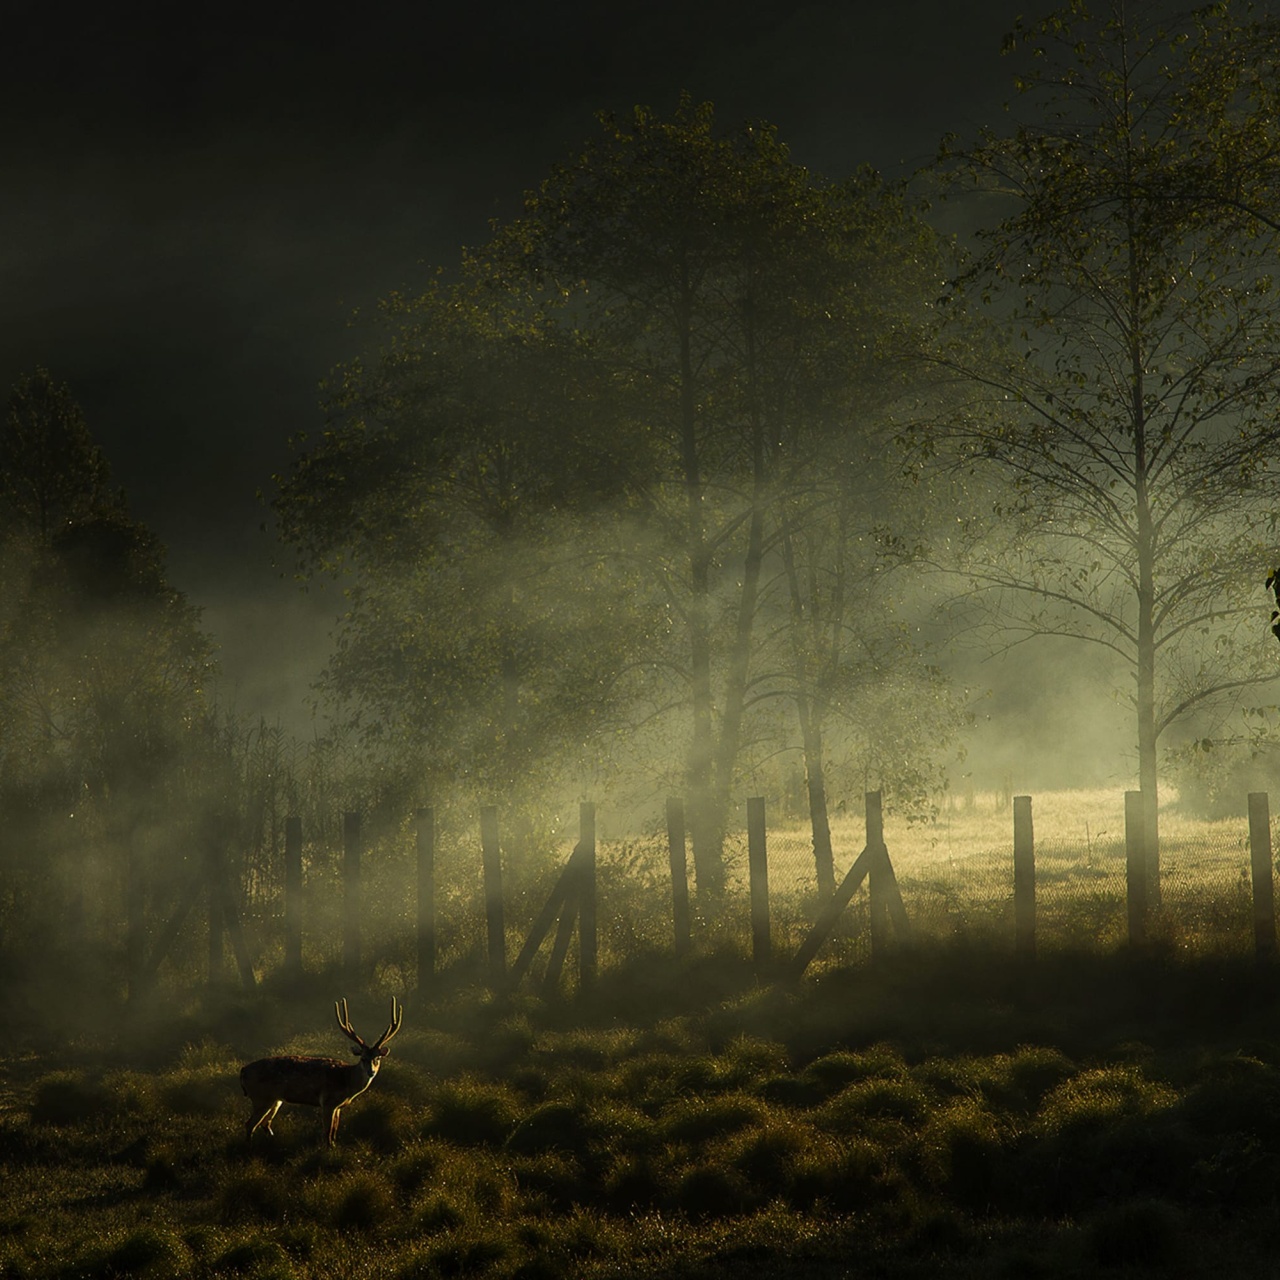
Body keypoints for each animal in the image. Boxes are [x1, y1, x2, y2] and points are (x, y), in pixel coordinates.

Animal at [240, 997, 403, 1147]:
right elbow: (328, 1132)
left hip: (275, 1099)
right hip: (261, 1097)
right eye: (363, 1058)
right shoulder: (327, 1101)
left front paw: (335, 1147)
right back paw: (249, 1148)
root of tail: (242, 1072)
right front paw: (329, 1150)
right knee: (250, 1124)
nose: (371, 1072)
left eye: (378, 1058)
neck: (347, 1080)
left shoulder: (338, 1107)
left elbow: (335, 1131)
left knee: (265, 1123)